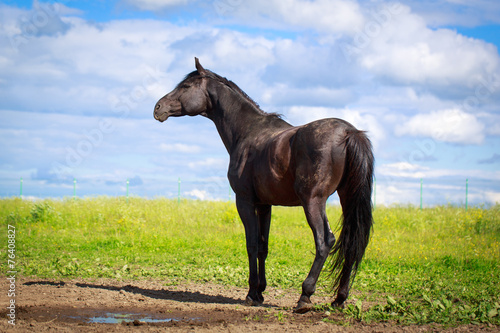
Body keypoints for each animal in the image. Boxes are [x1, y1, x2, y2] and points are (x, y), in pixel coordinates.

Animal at [154, 56, 374, 312]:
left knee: (325, 241)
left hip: (313, 201)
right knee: (352, 242)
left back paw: (305, 295)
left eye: (186, 86)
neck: (247, 131)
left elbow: (251, 244)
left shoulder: (245, 201)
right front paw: (260, 291)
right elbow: (262, 246)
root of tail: (349, 133)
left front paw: (251, 293)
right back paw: (339, 298)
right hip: (347, 198)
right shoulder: (265, 205)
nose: (157, 108)